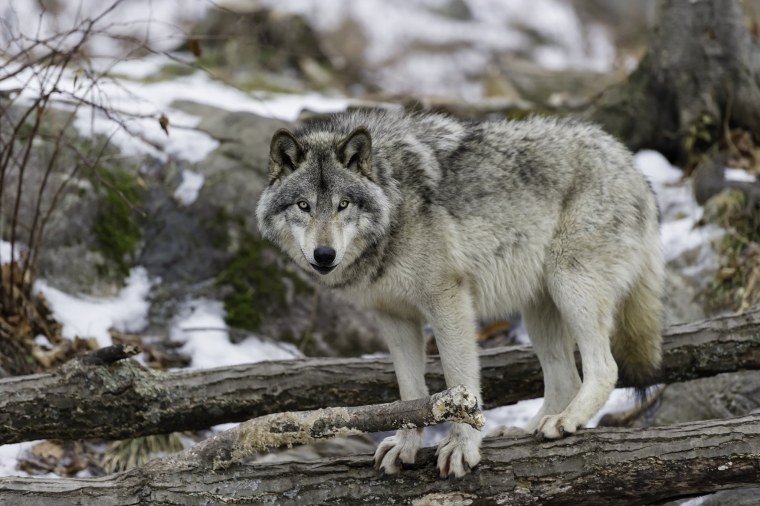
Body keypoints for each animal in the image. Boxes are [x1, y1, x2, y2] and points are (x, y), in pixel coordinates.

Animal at [255, 108, 664, 478]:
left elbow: (459, 380)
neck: (395, 201)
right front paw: (405, 447)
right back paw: (526, 429)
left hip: (571, 287)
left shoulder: (448, 302)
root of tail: (630, 163)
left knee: (604, 368)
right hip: (539, 310)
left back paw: (566, 421)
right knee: (567, 379)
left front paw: (462, 447)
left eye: (343, 205)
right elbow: (410, 392)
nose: (324, 255)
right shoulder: (395, 317)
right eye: (304, 205)